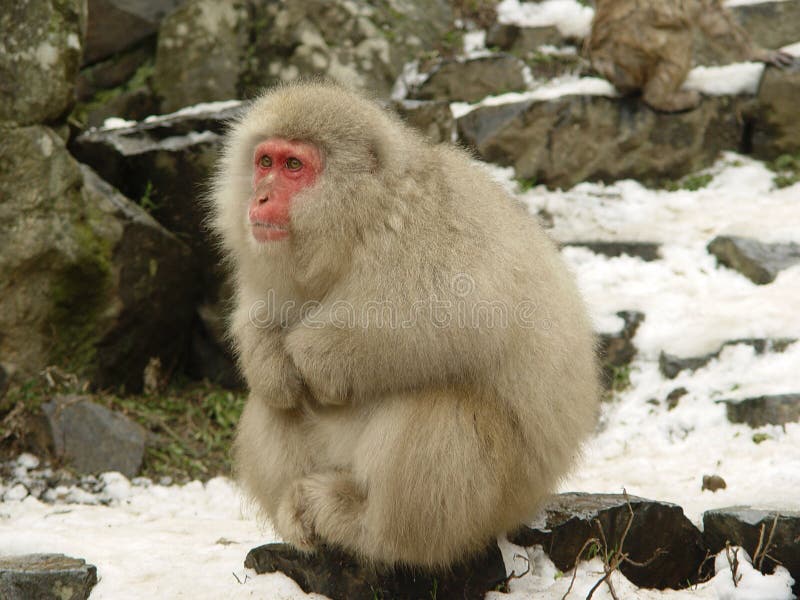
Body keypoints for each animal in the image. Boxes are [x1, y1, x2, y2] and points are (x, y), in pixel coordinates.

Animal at [212, 82, 600, 568]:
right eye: (265, 162)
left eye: (294, 166)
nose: (259, 198)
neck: (359, 221)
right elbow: (263, 315)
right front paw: (271, 359)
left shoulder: (428, 221)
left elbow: (458, 308)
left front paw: (314, 355)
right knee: (273, 401)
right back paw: (297, 506)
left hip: (496, 502)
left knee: (442, 406)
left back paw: (364, 525)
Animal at [588, 0, 792, 112]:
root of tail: (602, 59)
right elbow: (713, 16)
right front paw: (759, 52)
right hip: (636, 43)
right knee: (680, 36)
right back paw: (663, 98)